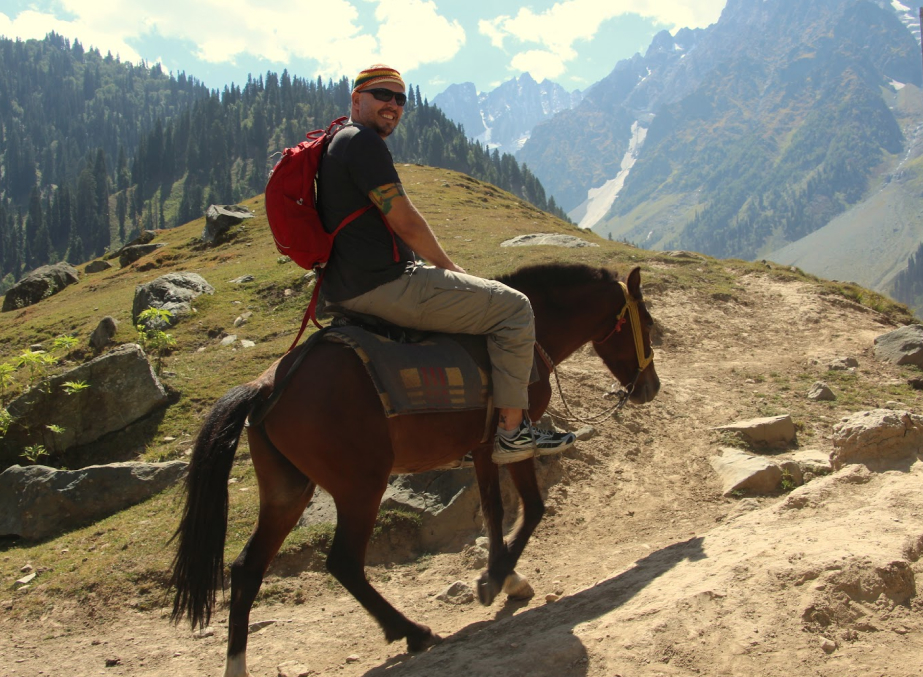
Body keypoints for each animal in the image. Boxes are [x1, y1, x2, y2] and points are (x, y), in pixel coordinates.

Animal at [166, 262, 656, 672]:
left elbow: (494, 512)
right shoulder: (513, 440)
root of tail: (268, 386)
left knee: (247, 570)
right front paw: (496, 579)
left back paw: (238, 664)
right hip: (361, 487)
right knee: (344, 563)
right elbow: (532, 508)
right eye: (649, 324)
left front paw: (505, 576)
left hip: (287, 491)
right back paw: (412, 632)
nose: (650, 387)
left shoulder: (482, 449)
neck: (531, 331)